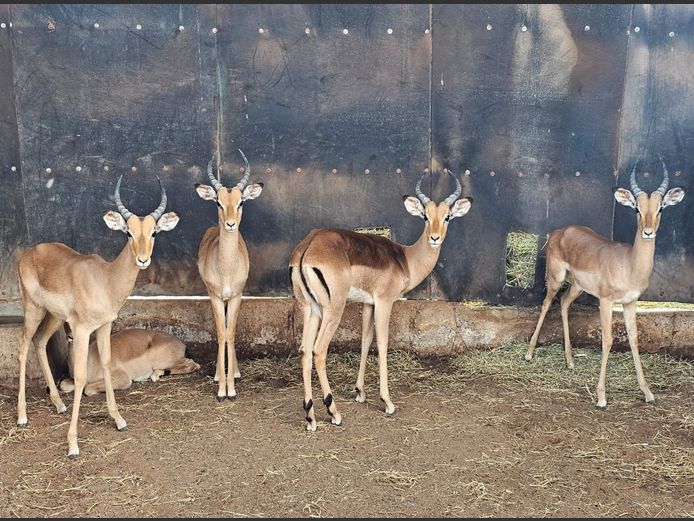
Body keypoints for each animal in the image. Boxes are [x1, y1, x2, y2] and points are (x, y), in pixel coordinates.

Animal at [16, 175, 180, 458]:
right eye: (128, 232)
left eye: (154, 232)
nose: (143, 259)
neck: (105, 280)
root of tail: (29, 253)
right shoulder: (82, 330)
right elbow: (82, 377)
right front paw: (72, 445)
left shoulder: (104, 326)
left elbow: (105, 363)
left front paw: (119, 420)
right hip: (33, 309)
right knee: (23, 346)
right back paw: (22, 417)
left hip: (55, 317)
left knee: (39, 342)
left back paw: (59, 405)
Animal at [59, 328, 200, 396]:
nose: (71, 336)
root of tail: (182, 344)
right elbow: (62, 385)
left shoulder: (123, 379)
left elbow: (87, 389)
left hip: (162, 361)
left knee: (193, 364)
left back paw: (154, 376)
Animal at [195, 149, 263, 400]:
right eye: (218, 201)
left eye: (241, 201)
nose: (231, 224)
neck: (226, 268)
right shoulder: (215, 296)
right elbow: (221, 334)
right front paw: (221, 390)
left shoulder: (236, 296)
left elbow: (231, 333)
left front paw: (231, 389)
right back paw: (219, 375)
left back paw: (234, 372)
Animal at [289, 171, 473, 431]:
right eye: (425, 216)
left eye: (447, 216)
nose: (435, 238)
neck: (406, 259)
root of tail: (308, 247)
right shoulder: (385, 302)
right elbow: (383, 343)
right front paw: (387, 401)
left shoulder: (369, 303)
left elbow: (365, 341)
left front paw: (359, 392)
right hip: (333, 310)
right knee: (318, 351)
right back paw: (333, 412)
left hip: (310, 309)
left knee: (305, 351)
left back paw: (310, 416)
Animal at [525, 156, 685, 408]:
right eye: (636, 208)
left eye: (660, 208)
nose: (648, 232)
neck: (629, 265)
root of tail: (560, 231)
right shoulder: (606, 302)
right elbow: (608, 340)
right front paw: (601, 397)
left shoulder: (630, 303)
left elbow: (634, 340)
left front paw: (648, 392)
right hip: (555, 278)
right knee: (546, 303)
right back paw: (529, 353)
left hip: (577, 287)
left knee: (563, 303)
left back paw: (570, 361)